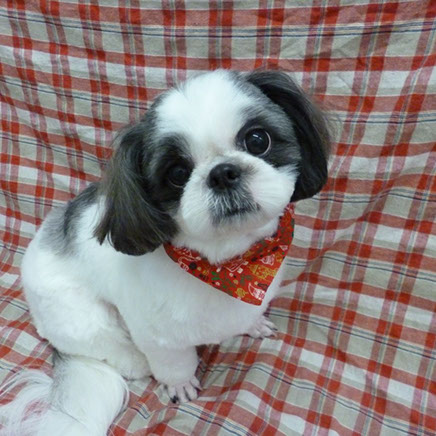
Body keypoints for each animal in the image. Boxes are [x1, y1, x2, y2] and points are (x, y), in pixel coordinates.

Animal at [0, 70, 330, 435]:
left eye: (258, 140)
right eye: (177, 173)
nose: (222, 173)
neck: (228, 266)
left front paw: (255, 324)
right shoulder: (158, 337)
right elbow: (175, 363)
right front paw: (180, 385)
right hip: (81, 319)